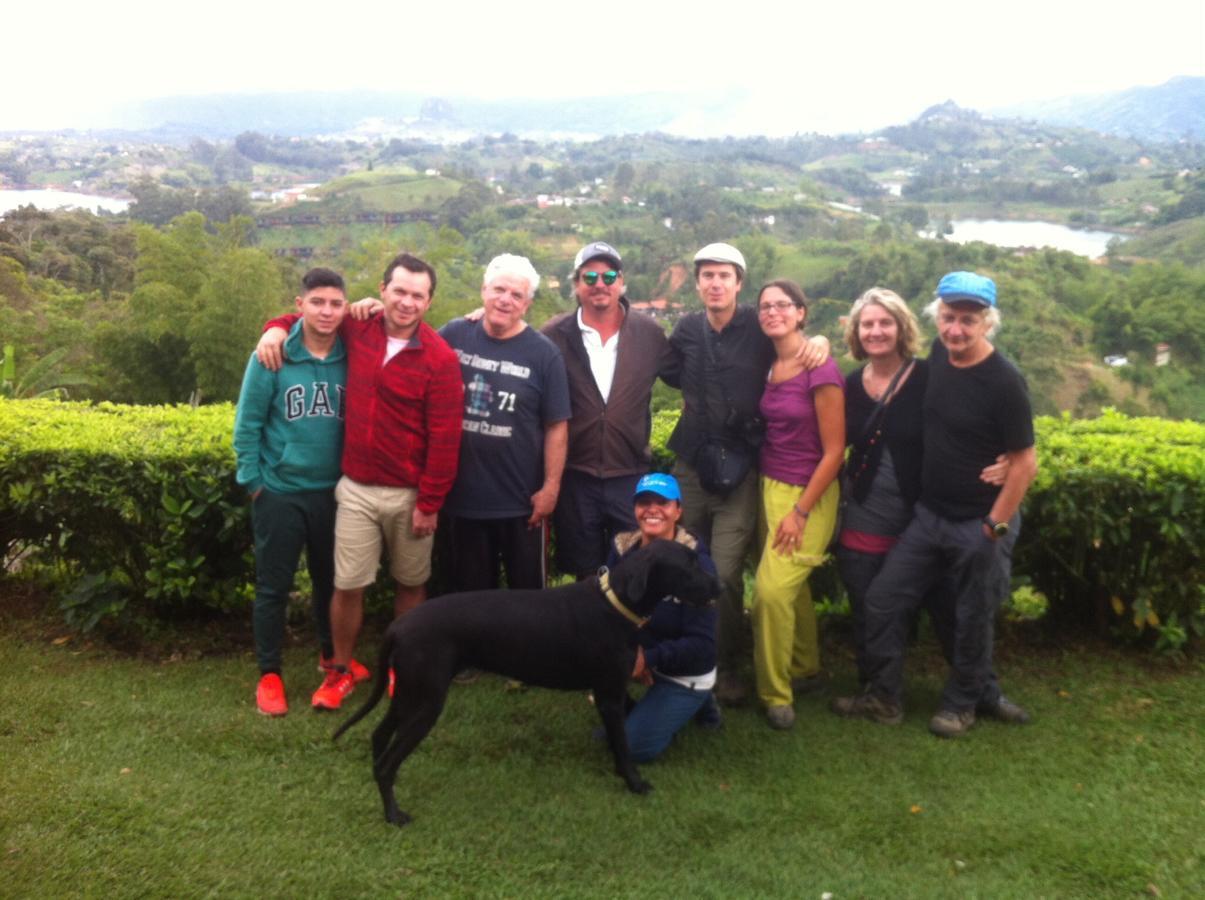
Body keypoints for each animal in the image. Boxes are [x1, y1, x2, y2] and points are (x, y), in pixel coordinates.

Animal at [334, 539, 718, 828]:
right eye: (688, 565)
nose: (721, 585)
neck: (615, 603)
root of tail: (397, 627)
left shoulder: (614, 691)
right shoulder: (608, 694)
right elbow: (624, 745)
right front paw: (634, 783)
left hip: (409, 694)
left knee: (379, 737)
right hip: (426, 703)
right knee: (387, 762)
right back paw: (393, 815)